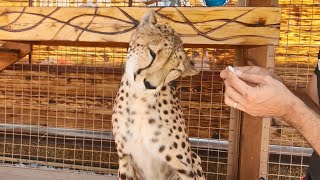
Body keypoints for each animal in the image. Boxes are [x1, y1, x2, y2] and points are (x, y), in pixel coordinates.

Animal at [111, 9, 204, 180]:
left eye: (174, 70)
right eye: (152, 53)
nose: (150, 85)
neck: (140, 100)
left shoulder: (185, 167)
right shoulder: (125, 156)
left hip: (195, 158)